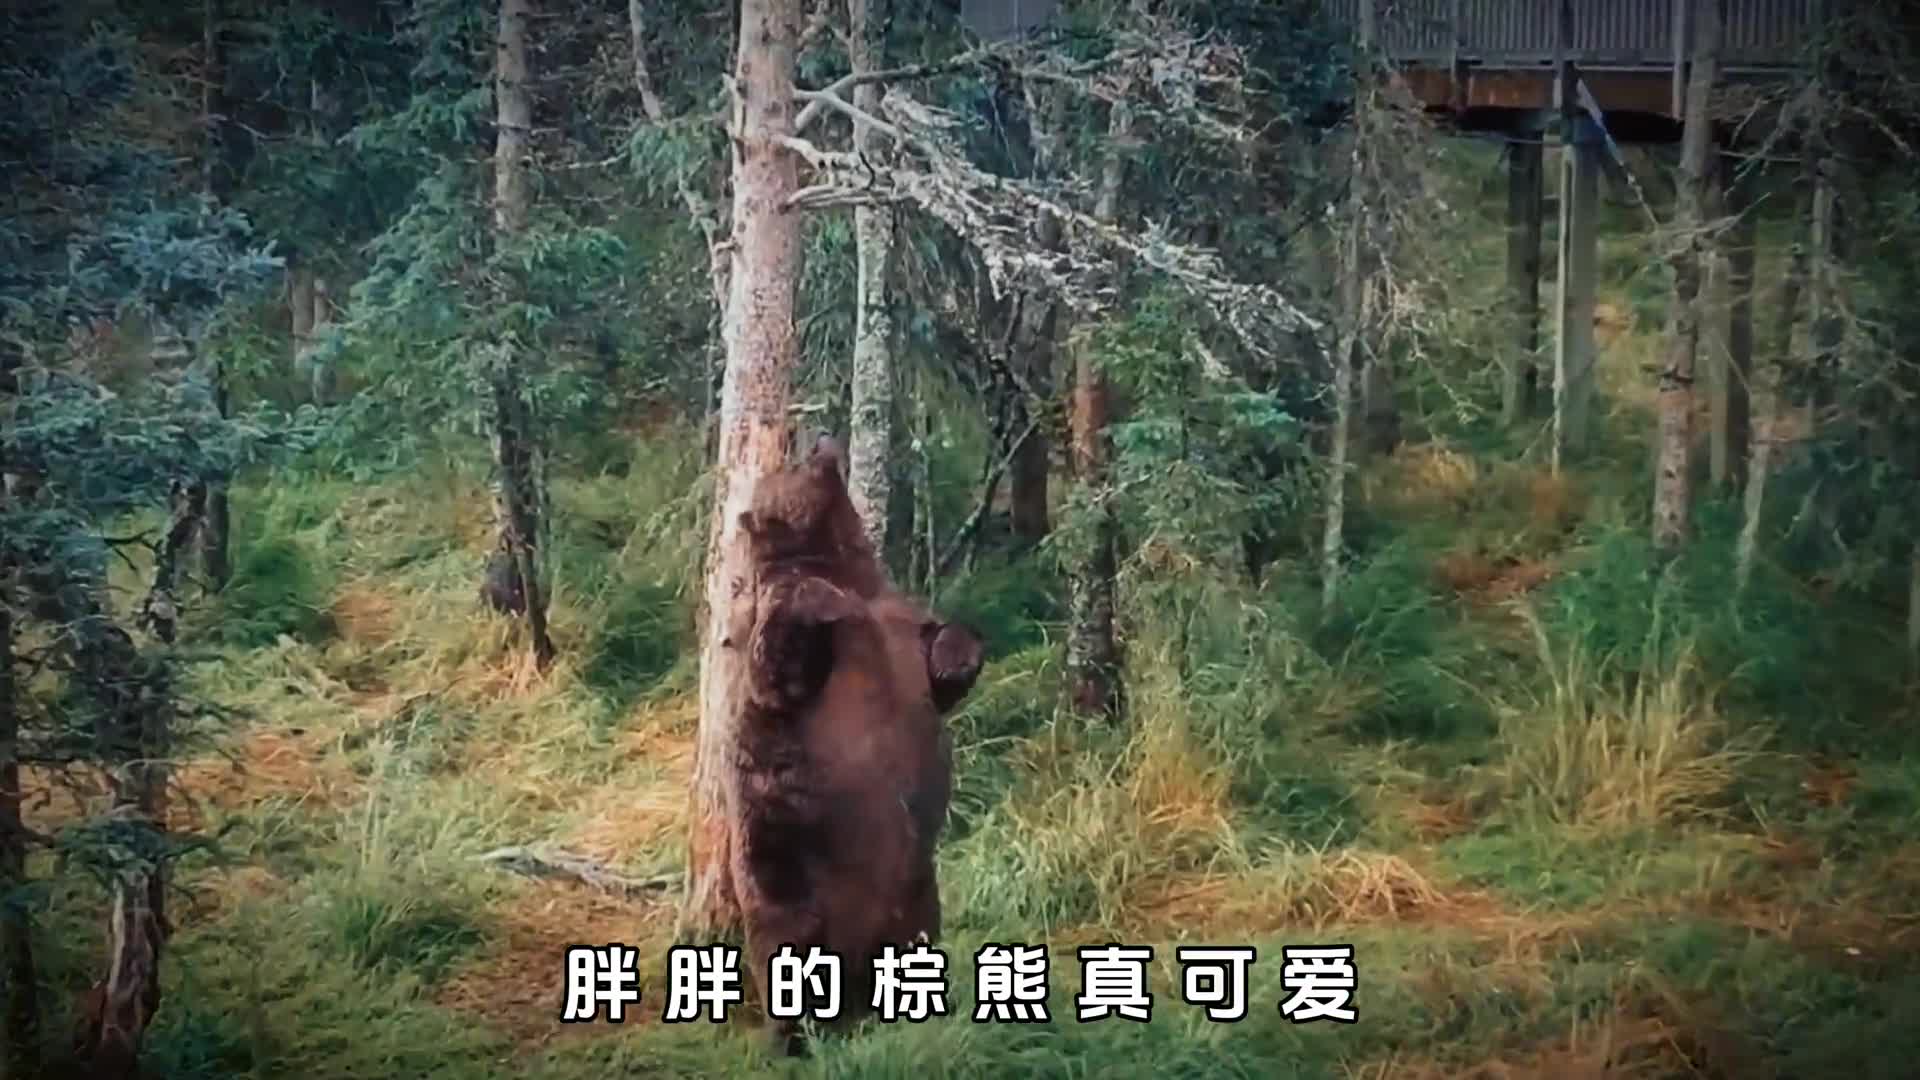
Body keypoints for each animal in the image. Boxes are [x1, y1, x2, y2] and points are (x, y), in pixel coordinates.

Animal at [730, 434, 985, 1053]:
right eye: (786, 459)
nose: (816, 435)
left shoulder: (897, 611)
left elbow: (940, 649)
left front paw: (957, 654)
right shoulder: (780, 628)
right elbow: (774, 663)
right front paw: (819, 597)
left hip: (920, 895)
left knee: (919, 939)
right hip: (786, 868)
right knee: (784, 948)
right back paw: (792, 1038)